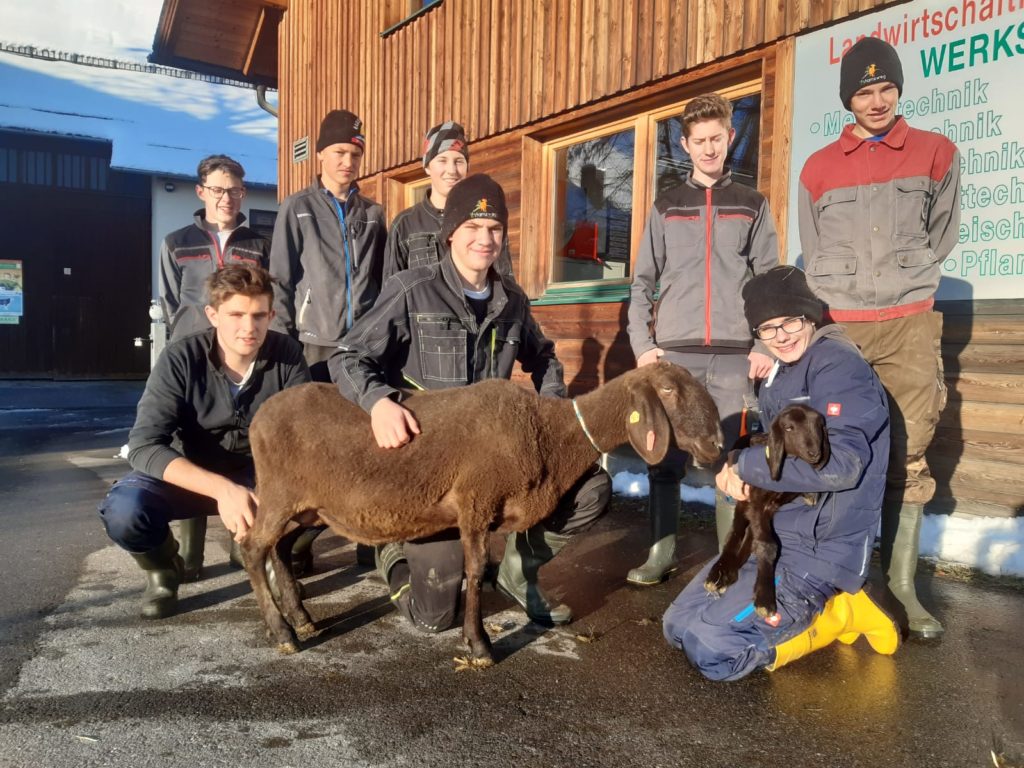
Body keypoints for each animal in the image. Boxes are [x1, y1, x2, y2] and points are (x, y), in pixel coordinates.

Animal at [241, 360, 720, 667]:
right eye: (669, 390)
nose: (715, 444)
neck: (548, 432)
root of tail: (260, 416)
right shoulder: (475, 501)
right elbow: (472, 572)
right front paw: (479, 645)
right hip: (281, 494)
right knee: (252, 548)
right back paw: (283, 633)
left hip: (308, 507)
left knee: (278, 549)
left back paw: (302, 619)